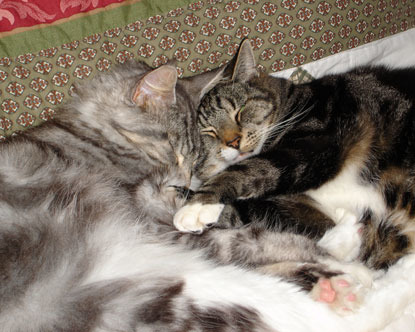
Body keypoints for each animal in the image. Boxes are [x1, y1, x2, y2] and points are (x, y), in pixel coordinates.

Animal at [174, 40, 415, 272]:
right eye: (209, 132)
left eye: (240, 110)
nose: (233, 141)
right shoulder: (299, 210)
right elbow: (255, 213)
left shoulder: (317, 142)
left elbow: (252, 168)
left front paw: (196, 204)